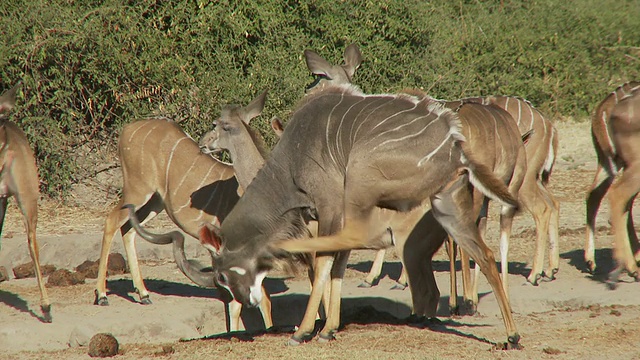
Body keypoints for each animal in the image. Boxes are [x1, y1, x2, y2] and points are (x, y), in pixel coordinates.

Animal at [94, 92, 272, 332]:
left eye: (217, 124)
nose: (203, 142)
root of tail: (128, 129)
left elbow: (263, 299)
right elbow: (240, 302)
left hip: (155, 202)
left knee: (129, 229)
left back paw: (143, 294)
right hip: (137, 190)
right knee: (112, 220)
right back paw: (102, 295)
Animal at [146, 45, 524, 348]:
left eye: (223, 276)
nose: (244, 298)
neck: (288, 161)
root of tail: (456, 146)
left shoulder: (328, 208)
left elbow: (325, 262)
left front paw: (305, 330)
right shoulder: (328, 216)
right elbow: (335, 265)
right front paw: (327, 329)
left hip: (362, 179)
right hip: (446, 207)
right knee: (484, 254)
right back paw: (511, 335)